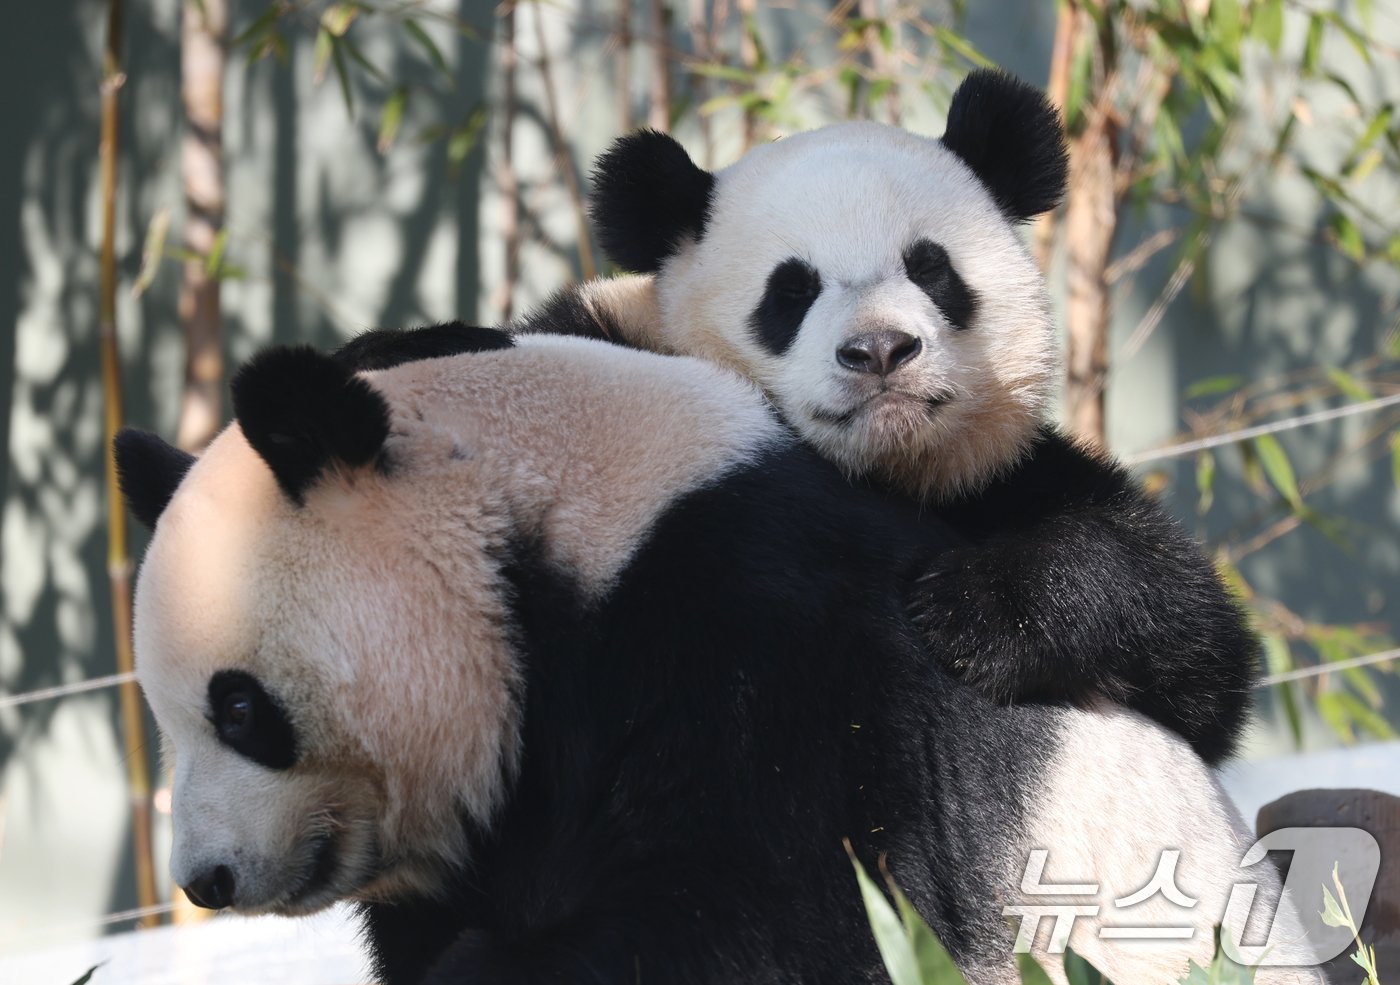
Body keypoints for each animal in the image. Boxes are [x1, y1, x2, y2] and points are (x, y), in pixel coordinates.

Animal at [515, 69, 1260, 766]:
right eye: (791, 291)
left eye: (929, 268)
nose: (879, 349)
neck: (886, 464)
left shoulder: (998, 478)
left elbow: (1191, 624)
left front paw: (975, 613)